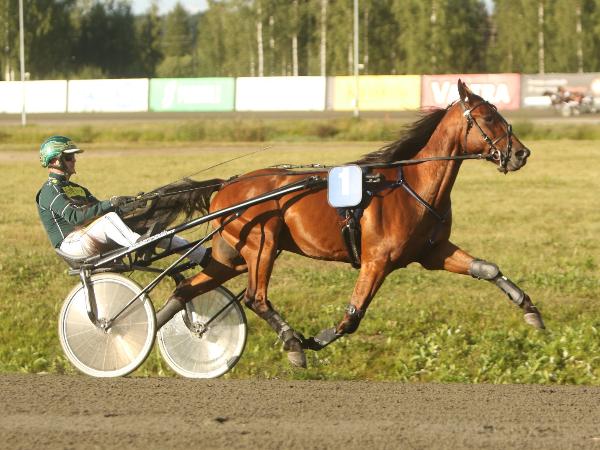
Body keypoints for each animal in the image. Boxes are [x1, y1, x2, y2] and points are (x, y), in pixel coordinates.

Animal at [153, 80, 545, 368]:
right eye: (488, 117)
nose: (521, 153)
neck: (412, 186)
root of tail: (225, 185)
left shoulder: (433, 252)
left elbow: (487, 269)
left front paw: (530, 310)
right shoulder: (377, 260)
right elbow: (353, 316)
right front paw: (315, 339)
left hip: (231, 254)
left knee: (186, 288)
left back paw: (147, 327)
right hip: (262, 243)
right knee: (255, 297)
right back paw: (293, 343)